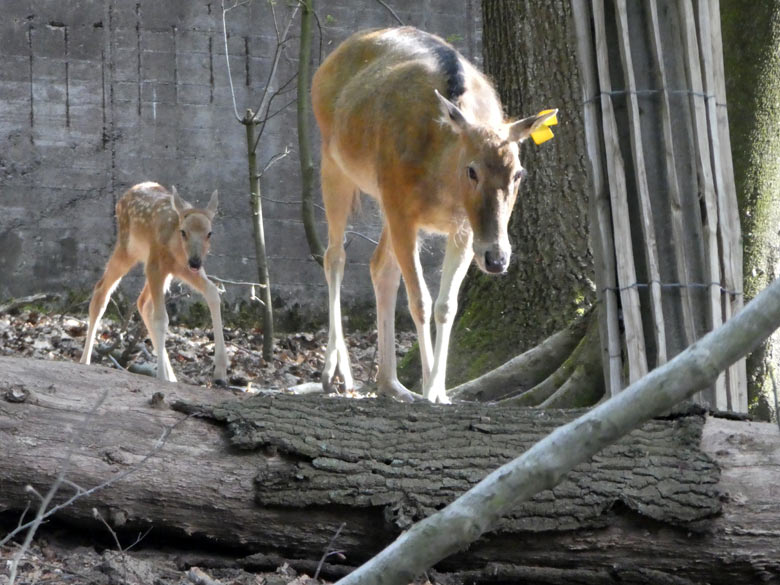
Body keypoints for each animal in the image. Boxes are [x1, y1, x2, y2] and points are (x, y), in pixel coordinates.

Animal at [80, 181, 227, 384]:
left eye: (209, 233)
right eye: (184, 232)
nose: (196, 261)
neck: (176, 249)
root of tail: (124, 197)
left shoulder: (181, 269)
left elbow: (213, 292)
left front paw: (220, 372)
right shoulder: (157, 265)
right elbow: (161, 318)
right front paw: (160, 376)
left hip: (157, 268)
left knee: (143, 303)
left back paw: (172, 376)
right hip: (128, 249)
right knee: (102, 289)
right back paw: (84, 360)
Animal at [310, 27, 556, 402]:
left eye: (518, 173)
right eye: (472, 170)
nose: (497, 258)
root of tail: (325, 65)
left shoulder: (464, 230)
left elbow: (446, 305)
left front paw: (438, 390)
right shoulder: (402, 209)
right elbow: (421, 302)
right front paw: (429, 389)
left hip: (384, 200)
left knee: (379, 265)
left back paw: (391, 384)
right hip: (334, 162)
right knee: (334, 256)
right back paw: (338, 374)